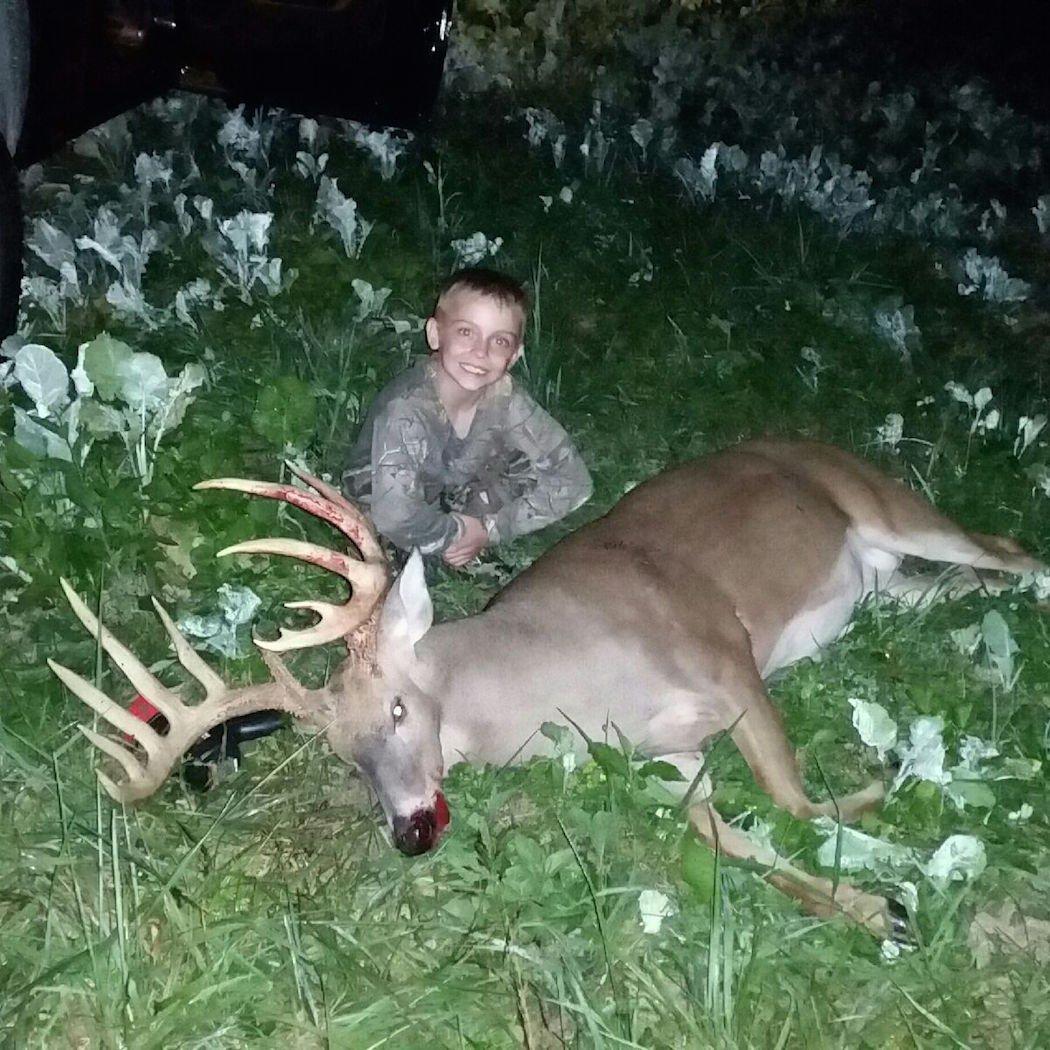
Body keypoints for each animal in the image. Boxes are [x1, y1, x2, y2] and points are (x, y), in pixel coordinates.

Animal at [49, 439, 1043, 941]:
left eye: (400, 709)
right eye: (343, 756)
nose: (410, 830)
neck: (566, 694)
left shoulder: (724, 656)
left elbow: (794, 801)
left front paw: (884, 820)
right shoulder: (667, 758)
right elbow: (738, 841)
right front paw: (883, 908)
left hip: (887, 501)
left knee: (1011, 549)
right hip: (886, 580)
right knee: (960, 582)